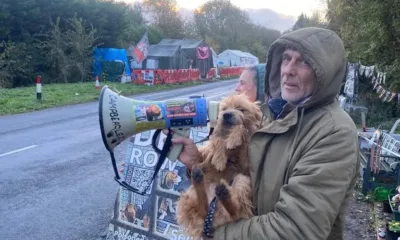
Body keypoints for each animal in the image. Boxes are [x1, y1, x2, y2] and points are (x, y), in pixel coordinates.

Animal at [175, 93, 262, 238]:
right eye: (224, 109)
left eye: (241, 109)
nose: (226, 115)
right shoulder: (208, 154)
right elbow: (217, 142)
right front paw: (220, 158)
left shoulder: (245, 163)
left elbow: (242, 129)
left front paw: (234, 138)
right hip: (189, 196)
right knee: (202, 210)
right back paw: (198, 179)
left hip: (241, 180)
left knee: (236, 213)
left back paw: (224, 195)